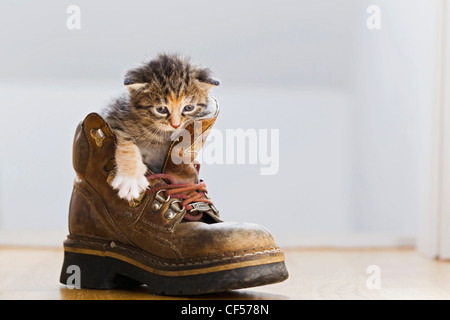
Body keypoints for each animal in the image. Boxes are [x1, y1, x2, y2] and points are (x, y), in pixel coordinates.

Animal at [102, 54, 221, 200]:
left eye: (188, 108)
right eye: (161, 109)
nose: (176, 124)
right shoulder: (114, 118)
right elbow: (126, 142)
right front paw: (130, 180)